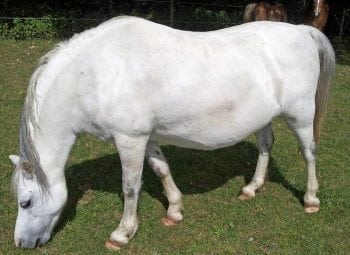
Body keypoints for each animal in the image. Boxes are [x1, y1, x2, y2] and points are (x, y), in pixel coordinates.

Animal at [9, 16, 334, 250]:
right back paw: (252, 188)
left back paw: (311, 200)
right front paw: (174, 210)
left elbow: (130, 186)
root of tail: (302, 30)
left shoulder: (129, 139)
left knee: (309, 152)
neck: (94, 74)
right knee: (266, 144)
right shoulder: (148, 137)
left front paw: (122, 233)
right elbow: (161, 169)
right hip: (264, 117)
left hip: (300, 115)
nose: (21, 243)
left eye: (26, 202)